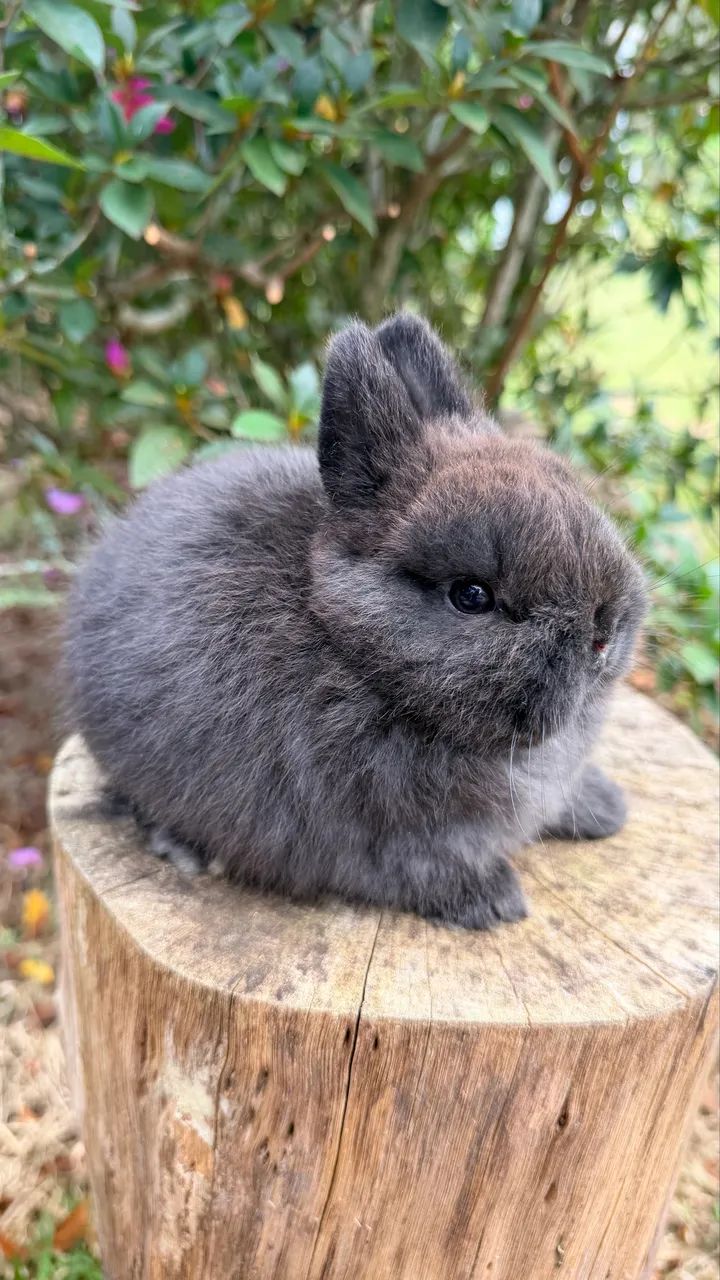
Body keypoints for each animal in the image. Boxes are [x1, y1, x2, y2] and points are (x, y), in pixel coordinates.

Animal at [65, 313, 646, 930]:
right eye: (471, 595)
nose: (604, 636)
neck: (354, 654)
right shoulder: (383, 833)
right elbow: (420, 868)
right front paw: (495, 902)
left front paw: (606, 807)